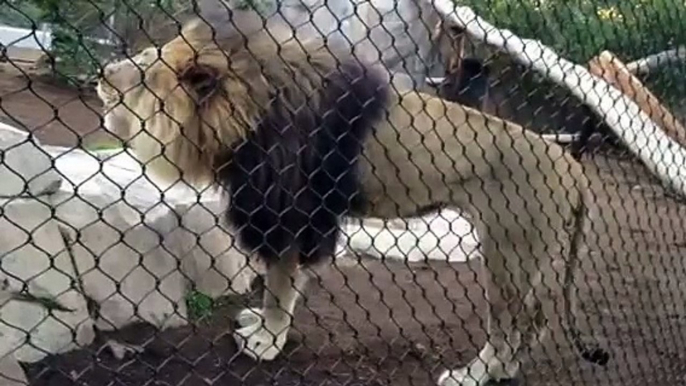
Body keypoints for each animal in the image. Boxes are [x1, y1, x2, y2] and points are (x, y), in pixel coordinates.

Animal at [95, 12, 608, 386]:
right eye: (141, 56)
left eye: (144, 76)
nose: (101, 73)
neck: (247, 109)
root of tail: (574, 169)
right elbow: (283, 287)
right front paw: (259, 325)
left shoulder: (289, 213)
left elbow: (280, 286)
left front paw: (266, 341)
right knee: (533, 323)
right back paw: (506, 371)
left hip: (509, 253)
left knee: (508, 328)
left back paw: (475, 374)